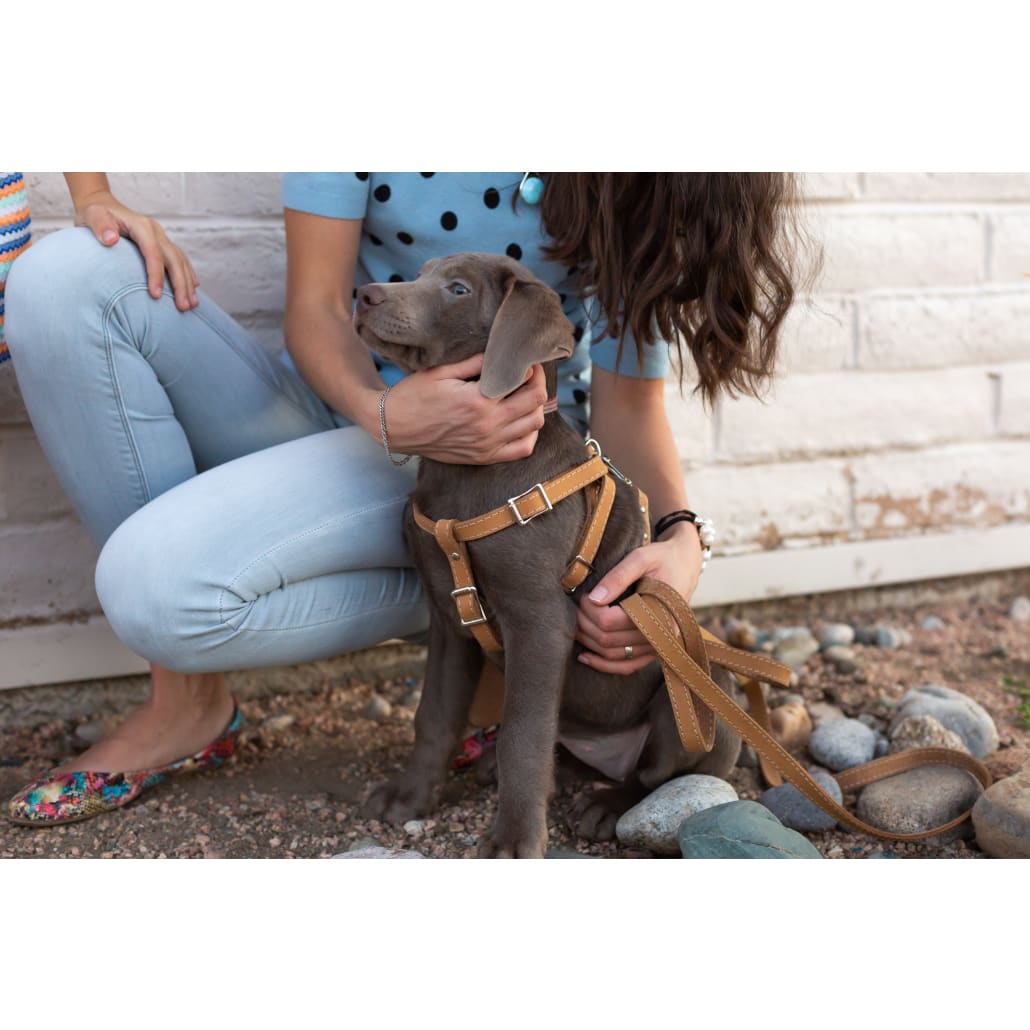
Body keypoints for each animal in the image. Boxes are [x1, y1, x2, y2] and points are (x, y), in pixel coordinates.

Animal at [354, 253, 740, 857]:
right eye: (418, 274)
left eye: (458, 289)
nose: (365, 295)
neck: (468, 474)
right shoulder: (449, 617)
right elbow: (435, 714)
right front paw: (409, 797)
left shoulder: (538, 622)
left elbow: (524, 736)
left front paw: (513, 840)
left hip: (700, 692)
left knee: (657, 776)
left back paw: (608, 805)